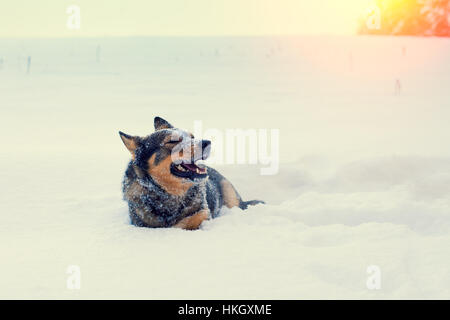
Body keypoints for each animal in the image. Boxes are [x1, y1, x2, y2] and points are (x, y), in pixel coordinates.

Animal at [119, 116, 264, 229]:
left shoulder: (203, 214)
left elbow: (192, 221)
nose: (207, 142)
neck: (169, 195)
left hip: (230, 196)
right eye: (172, 140)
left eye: (192, 137)